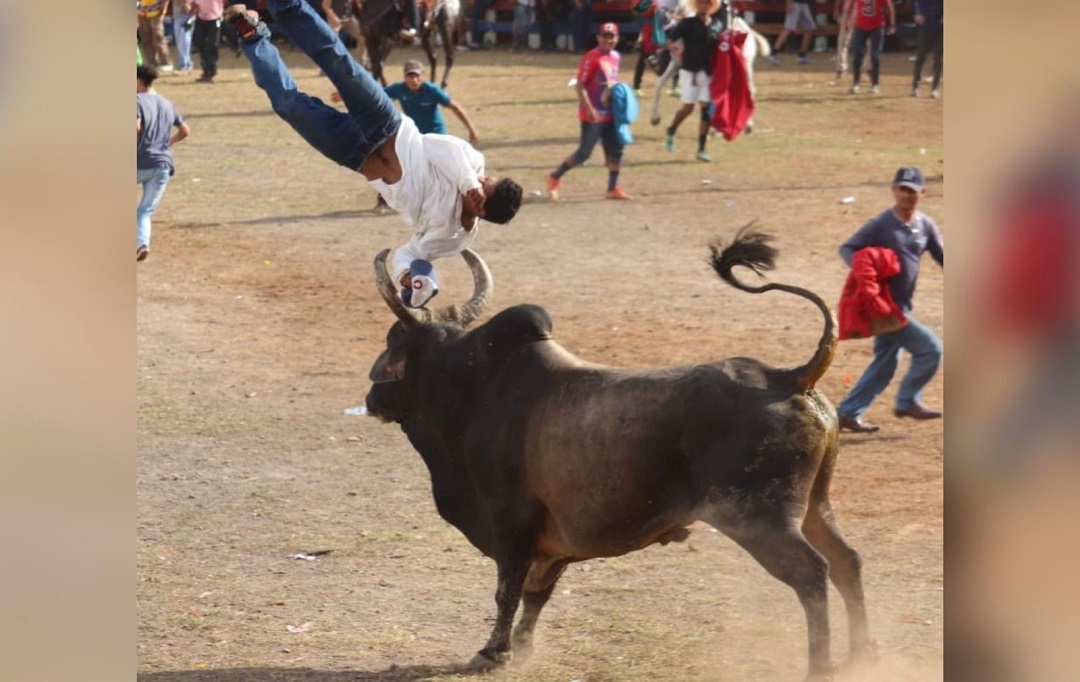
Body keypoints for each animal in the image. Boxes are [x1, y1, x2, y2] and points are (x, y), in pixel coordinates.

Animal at [367, 232, 872, 678]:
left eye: (394, 344)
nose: (372, 399)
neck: (474, 386)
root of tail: (790, 378)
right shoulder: (551, 543)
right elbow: (535, 594)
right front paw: (524, 649)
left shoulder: (510, 519)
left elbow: (507, 589)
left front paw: (493, 652)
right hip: (815, 506)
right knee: (847, 561)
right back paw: (861, 656)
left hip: (759, 519)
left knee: (812, 573)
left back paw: (821, 666)